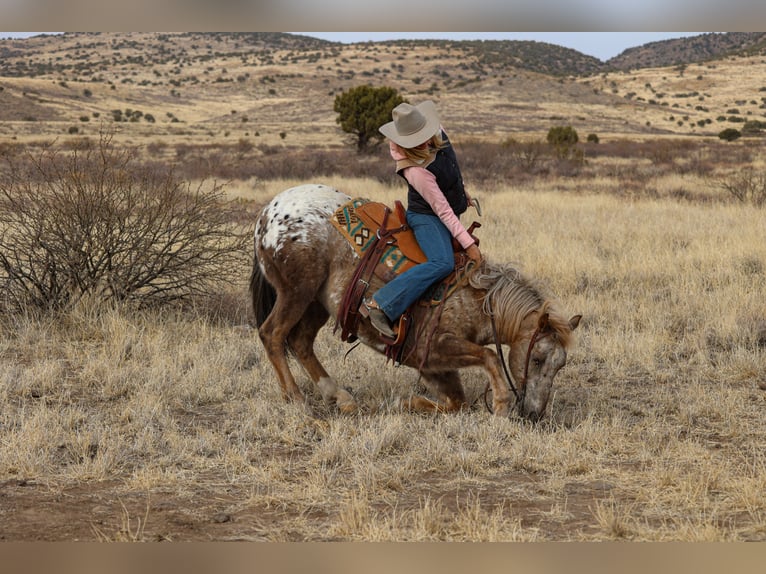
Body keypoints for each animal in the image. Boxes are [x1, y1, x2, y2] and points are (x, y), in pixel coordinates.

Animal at [250, 184, 584, 424]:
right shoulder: (433, 345)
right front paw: (501, 405)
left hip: (316, 303)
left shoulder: (432, 365)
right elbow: (489, 355)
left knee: (301, 342)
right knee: (273, 334)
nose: (535, 415)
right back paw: (296, 399)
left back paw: (340, 397)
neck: (477, 299)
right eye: (537, 359)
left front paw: (408, 403)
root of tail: (269, 212)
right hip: (297, 291)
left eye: (560, 365)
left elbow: (458, 403)